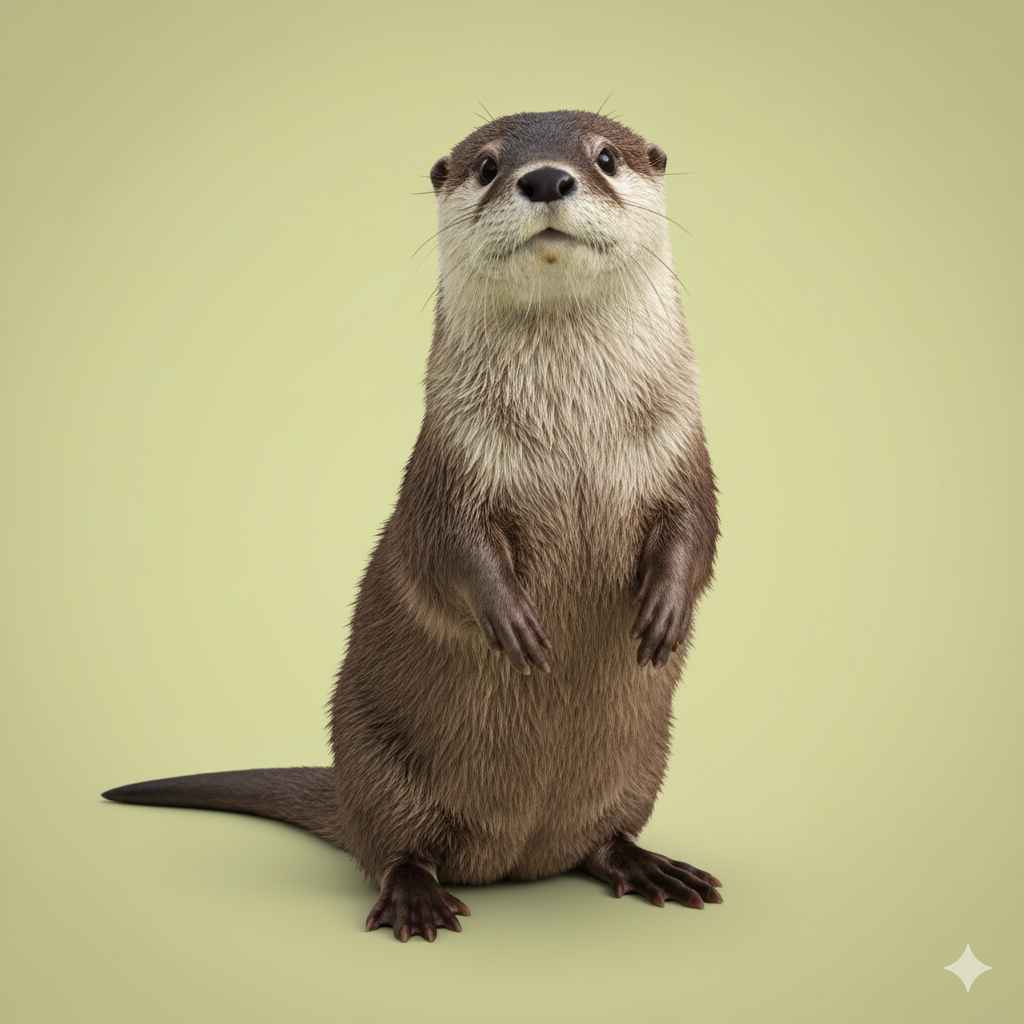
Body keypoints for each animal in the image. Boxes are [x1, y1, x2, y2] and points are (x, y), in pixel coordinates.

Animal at [103, 110, 723, 942]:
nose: (545, 178)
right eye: (489, 165)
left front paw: (664, 611)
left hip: (642, 767)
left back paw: (647, 863)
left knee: (604, 838)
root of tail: (517, 855)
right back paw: (415, 895)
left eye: (605, 158)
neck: (575, 440)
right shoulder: (448, 471)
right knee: (393, 847)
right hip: (379, 765)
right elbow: (448, 552)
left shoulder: (683, 455)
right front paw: (512, 622)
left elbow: (699, 534)